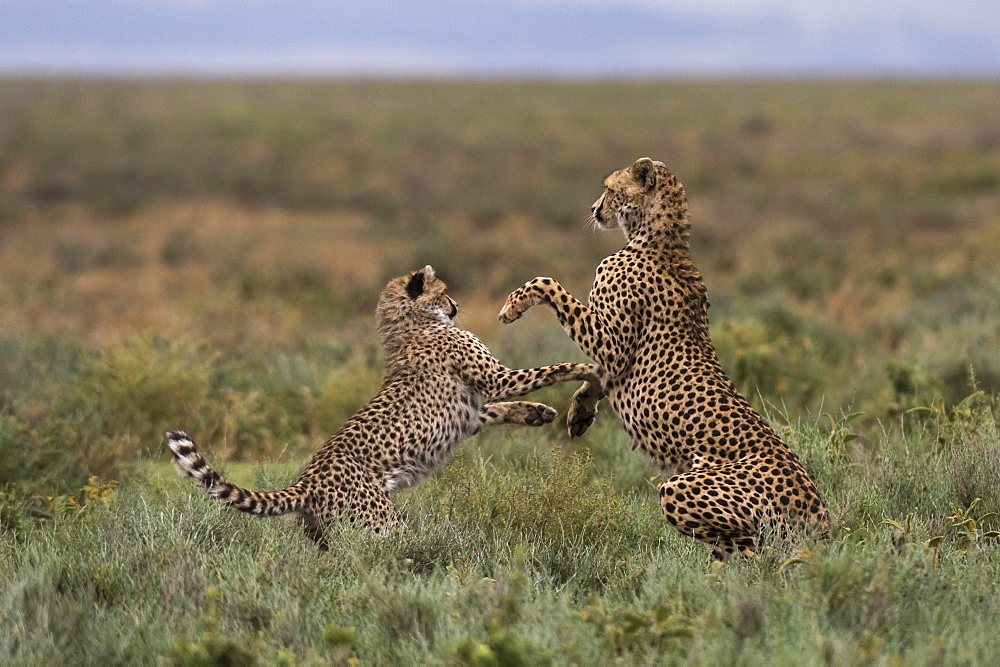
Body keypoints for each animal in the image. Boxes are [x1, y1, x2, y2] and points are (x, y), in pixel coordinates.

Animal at [168, 264, 596, 548]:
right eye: (443, 292)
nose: (456, 305)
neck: (412, 324)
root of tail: (307, 480)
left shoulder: (470, 411)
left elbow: (496, 409)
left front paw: (537, 412)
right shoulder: (494, 379)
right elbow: (547, 369)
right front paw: (589, 367)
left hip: (323, 535)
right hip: (381, 524)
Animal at [498, 158, 828, 560]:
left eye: (609, 189)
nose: (593, 209)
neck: (660, 239)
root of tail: (818, 510)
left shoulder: (614, 345)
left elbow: (550, 285)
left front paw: (514, 304)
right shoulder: (614, 356)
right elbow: (596, 374)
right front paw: (581, 411)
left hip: (683, 489)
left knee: (756, 555)